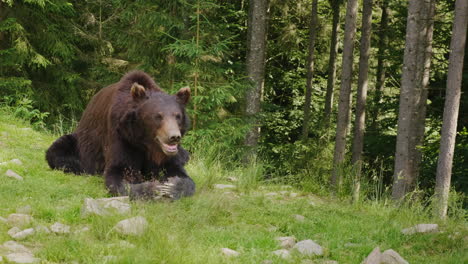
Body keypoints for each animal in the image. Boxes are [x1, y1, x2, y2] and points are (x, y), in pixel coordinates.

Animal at [44, 71, 195, 199]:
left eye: (178, 116)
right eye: (158, 116)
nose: (174, 137)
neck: (144, 143)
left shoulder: (165, 155)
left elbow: (179, 172)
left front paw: (171, 186)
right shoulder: (121, 137)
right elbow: (119, 172)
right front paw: (152, 188)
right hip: (78, 143)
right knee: (59, 150)